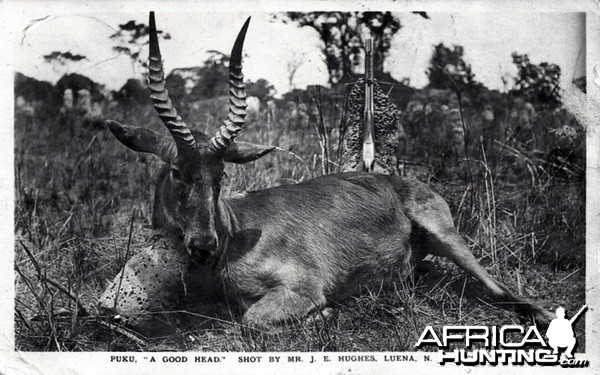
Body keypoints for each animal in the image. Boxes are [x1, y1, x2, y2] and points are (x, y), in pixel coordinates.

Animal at [105, 12, 556, 328]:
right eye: (177, 171)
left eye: (221, 177)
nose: (203, 244)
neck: (234, 236)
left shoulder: (300, 288)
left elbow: (254, 319)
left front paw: (326, 315)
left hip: (449, 237)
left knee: (499, 288)